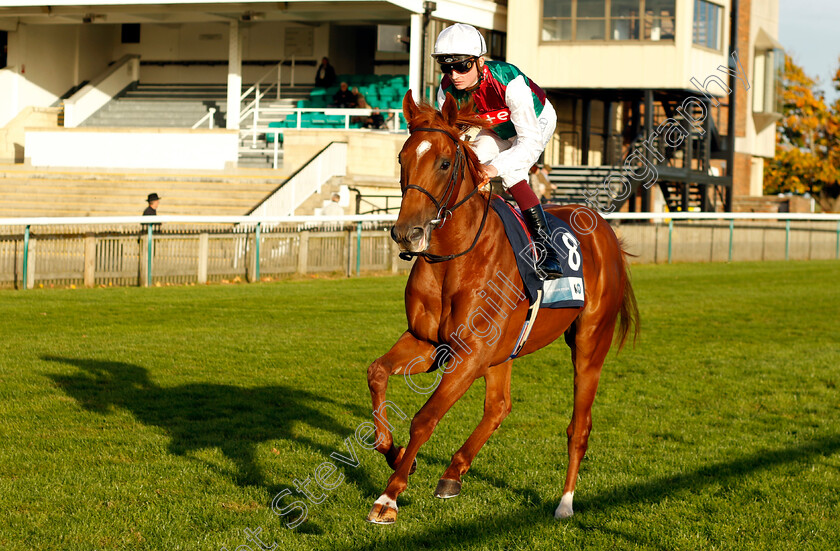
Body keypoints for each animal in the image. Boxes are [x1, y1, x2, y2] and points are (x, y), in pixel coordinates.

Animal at [364, 91, 640, 528]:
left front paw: (389, 496)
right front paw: (393, 453)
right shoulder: (429, 342)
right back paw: (453, 473)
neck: (454, 259)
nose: (407, 232)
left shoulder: (469, 355)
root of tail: (606, 232)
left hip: (589, 345)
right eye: (402, 158)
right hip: (504, 350)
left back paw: (565, 503)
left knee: (579, 427)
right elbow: (376, 373)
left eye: (444, 162)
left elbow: (425, 417)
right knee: (498, 407)